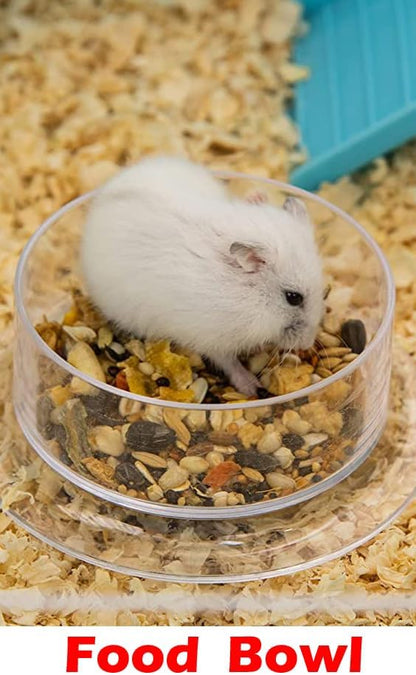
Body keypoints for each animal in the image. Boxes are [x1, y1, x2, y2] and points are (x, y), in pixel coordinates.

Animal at [81, 156, 324, 396]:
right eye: (293, 297)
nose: (307, 344)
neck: (249, 294)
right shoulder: (213, 339)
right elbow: (228, 362)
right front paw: (253, 388)